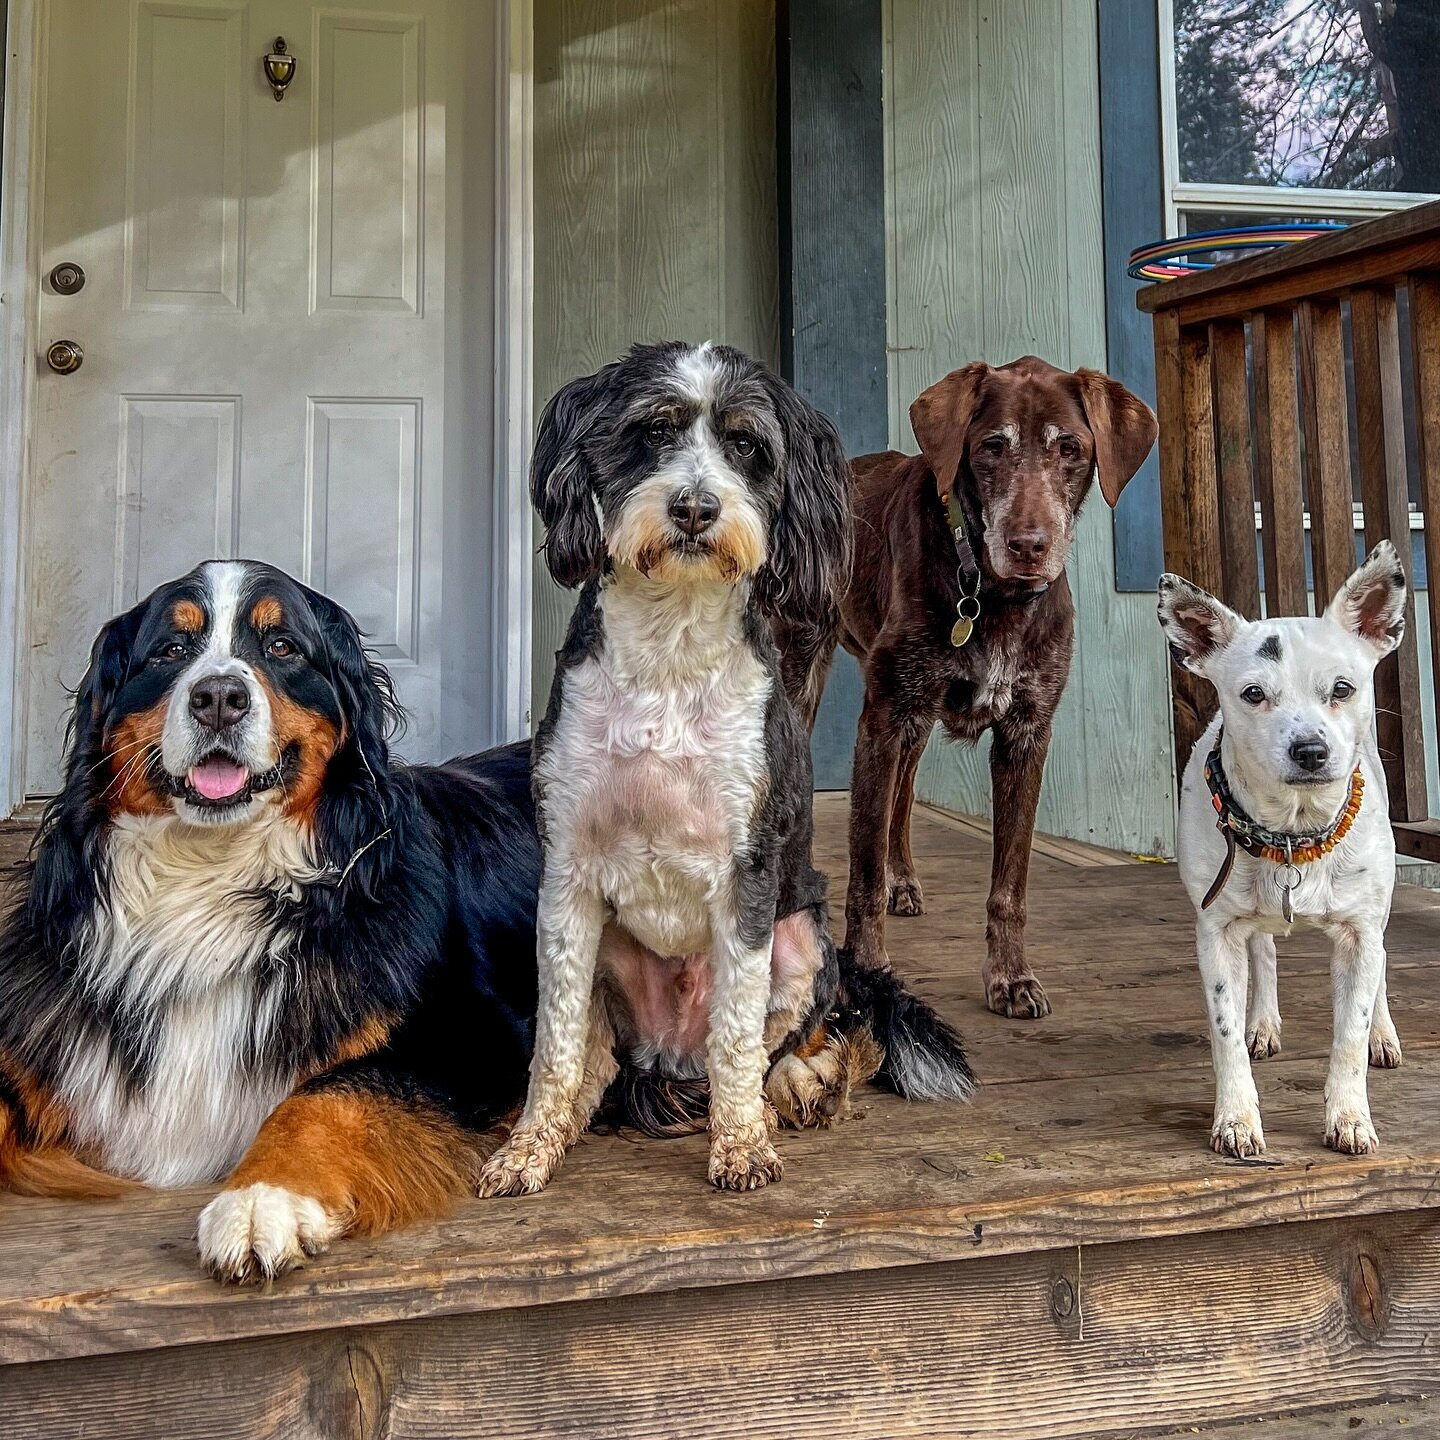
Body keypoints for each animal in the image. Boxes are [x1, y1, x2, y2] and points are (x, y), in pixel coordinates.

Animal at [0, 561, 541, 1284]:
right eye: (171, 651)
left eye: (282, 646)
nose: (218, 697)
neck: (212, 875)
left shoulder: (479, 1035)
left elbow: (327, 1091)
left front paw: (263, 1198)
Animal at [478, 336, 973, 1192]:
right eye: (652, 432)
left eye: (745, 446)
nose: (695, 508)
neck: (670, 648)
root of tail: (673, 1057)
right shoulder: (568, 874)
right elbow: (558, 1042)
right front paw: (530, 1145)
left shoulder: (748, 872)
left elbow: (739, 1036)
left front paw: (740, 1144)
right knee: (603, 1060)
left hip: (804, 940)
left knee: (790, 1043)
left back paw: (798, 1089)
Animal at [812, 354, 1157, 1019]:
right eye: (992, 448)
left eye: (1070, 449)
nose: (1029, 546)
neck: (990, 595)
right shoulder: (883, 720)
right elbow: (861, 871)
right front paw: (866, 973)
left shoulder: (1025, 735)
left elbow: (1010, 885)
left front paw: (1011, 976)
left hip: (915, 723)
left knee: (903, 797)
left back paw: (904, 879)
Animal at [1157, 541, 1405, 1157]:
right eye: (1252, 694)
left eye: (1342, 688)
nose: (1310, 750)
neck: (1295, 834)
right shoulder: (1216, 932)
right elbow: (1224, 1032)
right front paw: (1236, 1118)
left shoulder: (1360, 933)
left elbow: (1350, 1030)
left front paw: (1349, 1116)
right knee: (1265, 953)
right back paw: (1263, 1023)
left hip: (1377, 912)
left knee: (1381, 969)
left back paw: (1384, 1034)